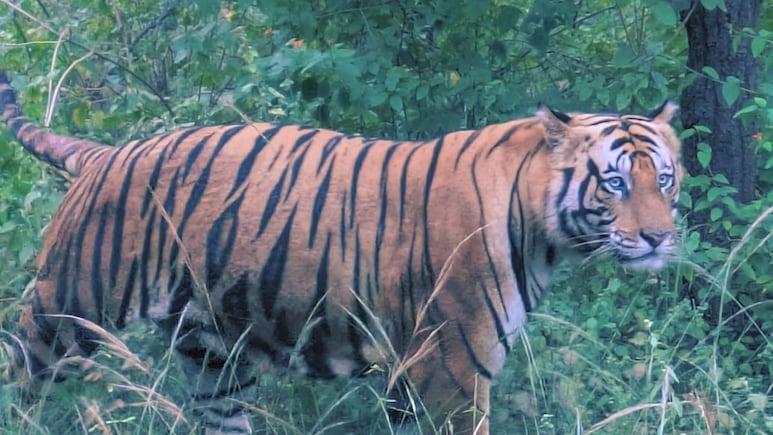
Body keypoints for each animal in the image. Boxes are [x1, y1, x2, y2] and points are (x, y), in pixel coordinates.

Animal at [0, 69, 681, 434]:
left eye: (665, 180)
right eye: (615, 183)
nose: (658, 237)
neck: (542, 234)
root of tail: (106, 155)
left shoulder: (415, 378)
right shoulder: (453, 372)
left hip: (213, 354)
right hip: (67, 313)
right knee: (22, 372)